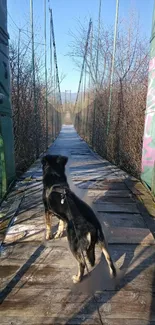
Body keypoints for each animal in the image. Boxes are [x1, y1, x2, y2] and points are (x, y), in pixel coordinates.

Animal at [41, 153, 116, 282]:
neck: (55, 177)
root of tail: (92, 227)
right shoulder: (61, 214)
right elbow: (61, 223)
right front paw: (58, 234)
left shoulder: (47, 210)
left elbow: (48, 225)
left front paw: (48, 236)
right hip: (101, 241)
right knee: (109, 259)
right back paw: (113, 275)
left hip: (73, 243)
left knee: (82, 263)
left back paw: (77, 278)